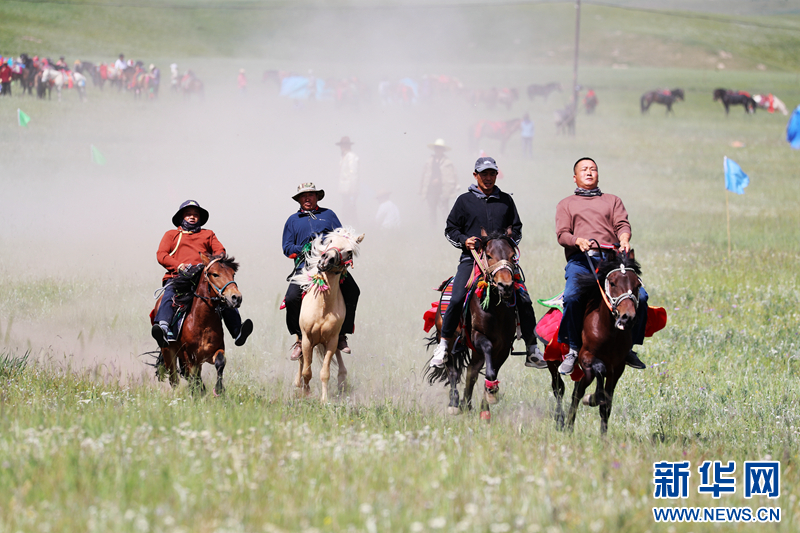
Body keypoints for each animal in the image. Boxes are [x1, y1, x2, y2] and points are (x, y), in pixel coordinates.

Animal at [152, 253, 242, 395]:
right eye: (215, 274)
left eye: (233, 274)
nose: (236, 298)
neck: (202, 323)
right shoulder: (188, 356)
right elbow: (192, 376)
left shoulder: (213, 351)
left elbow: (220, 361)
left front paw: (219, 390)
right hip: (168, 352)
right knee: (174, 379)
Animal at [425, 228, 521, 420]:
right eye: (489, 255)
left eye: (512, 255)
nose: (505, 286)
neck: (497, 309)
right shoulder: (479, 337)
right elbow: (487, 365)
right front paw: (490, 394)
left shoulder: (503, 346)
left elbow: (490, 372)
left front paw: (487, 404)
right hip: (447, 338)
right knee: (453, 370)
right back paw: (454, 404)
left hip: (476, 353)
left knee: (471, 372)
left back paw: (467, 405)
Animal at [546, 248, 642, 434]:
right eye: (612, 283)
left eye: (637, 284)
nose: (628, 317)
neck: (608, 332)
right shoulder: (586, 357)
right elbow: (599, 370)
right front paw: (592, 398)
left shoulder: (617, 368)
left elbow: (606, 404)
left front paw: (603, 436)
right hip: (553, 362)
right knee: (559, 389)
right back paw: (561, 422)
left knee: (577, 392)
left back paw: (569, 426)